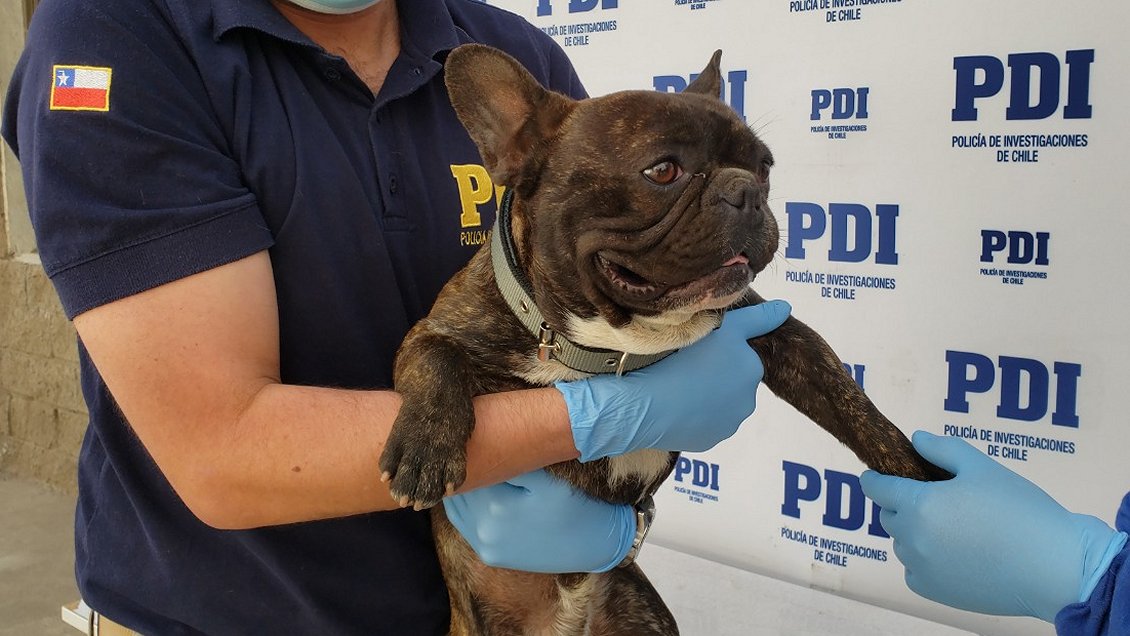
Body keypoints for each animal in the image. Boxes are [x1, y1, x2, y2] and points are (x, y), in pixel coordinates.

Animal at [379, 44, 946, 635]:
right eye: (663, 171)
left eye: (765, 166)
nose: (745, 189)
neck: (615, 347)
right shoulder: (438, 329)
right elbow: (434, 356)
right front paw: (424, 448)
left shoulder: (775, 329)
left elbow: (850, 399)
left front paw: (926, 488)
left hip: (640, 609)